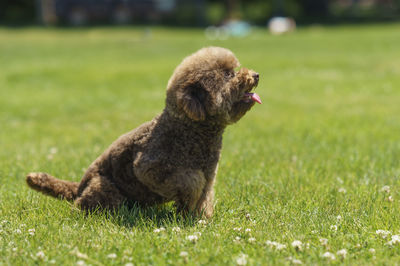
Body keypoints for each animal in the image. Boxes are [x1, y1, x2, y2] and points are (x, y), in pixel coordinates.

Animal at [26, 47, 260, 218]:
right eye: (229, 75)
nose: (256, 75)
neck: (190, 129)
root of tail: (79, 186)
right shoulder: (150, 166)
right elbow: (192, 180)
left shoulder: (210, 173)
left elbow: (205, 195)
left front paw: (199, 218)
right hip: (105, 188)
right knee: (86, 204)